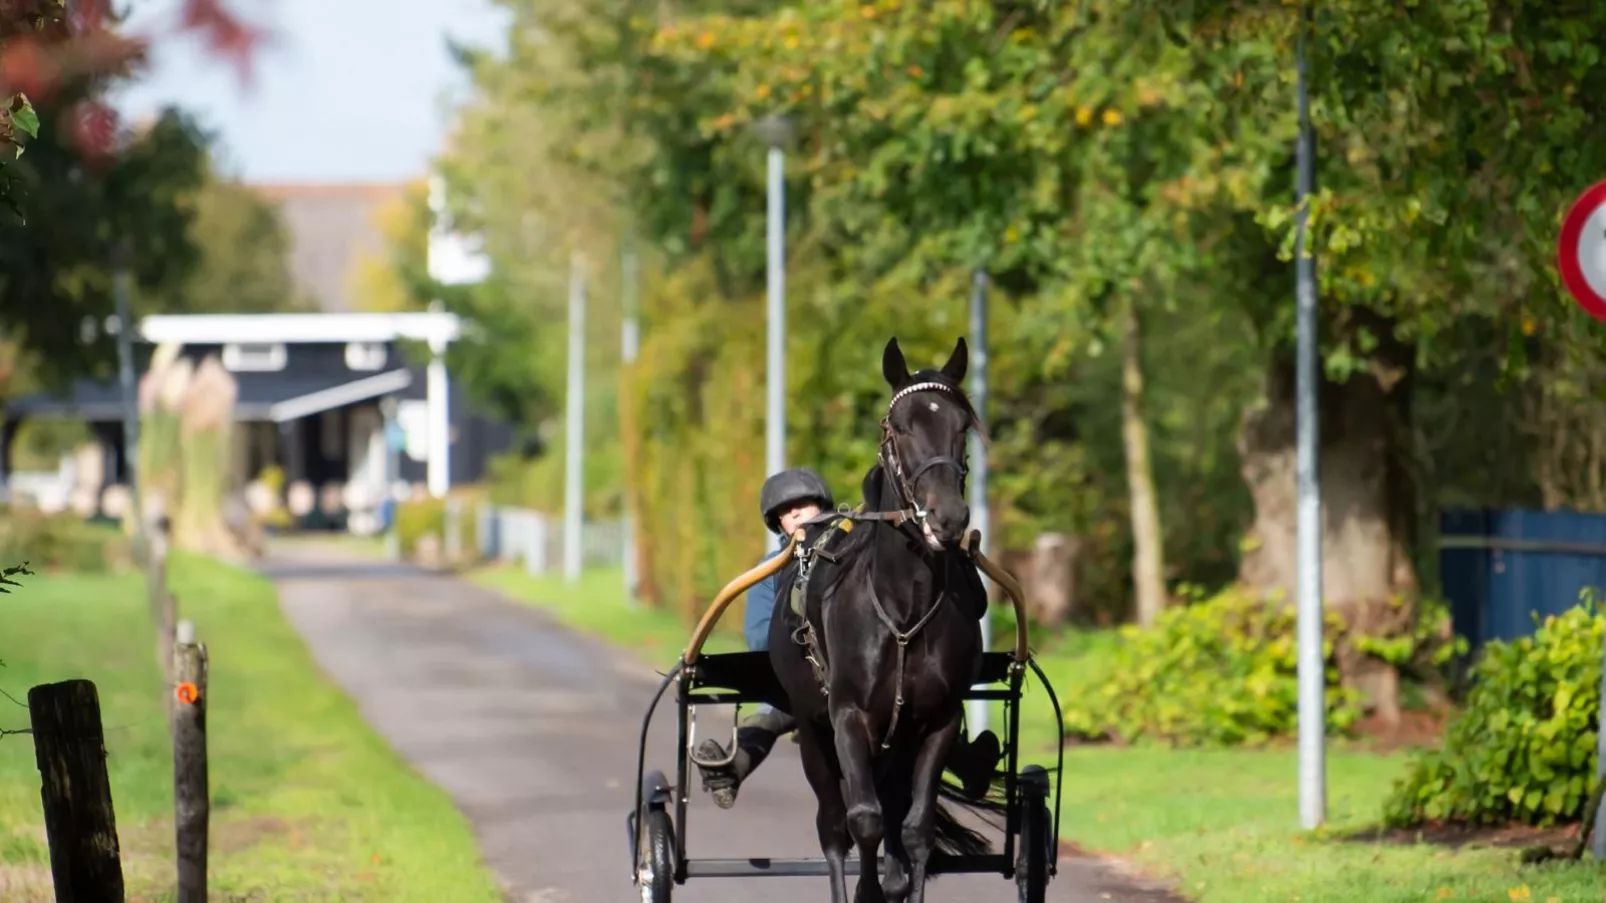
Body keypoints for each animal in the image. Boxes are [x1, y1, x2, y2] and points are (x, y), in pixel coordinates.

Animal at [767, 335, 1002, 899]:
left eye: (962, 426)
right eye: (899, 427)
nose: (948, 517)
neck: (903, 610)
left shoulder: (938, 719)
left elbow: (914, 830)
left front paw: (897, 880)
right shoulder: (848, 717)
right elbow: (864, 820)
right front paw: (867, 889)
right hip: (813, 728)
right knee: (834, 826)